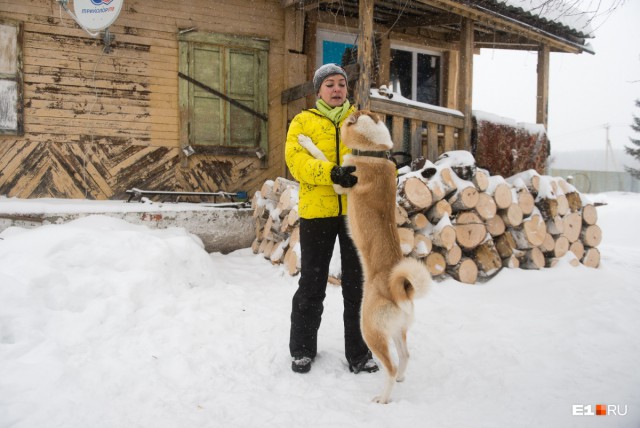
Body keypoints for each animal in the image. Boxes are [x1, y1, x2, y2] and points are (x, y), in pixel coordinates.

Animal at [338, 111, 432, 404]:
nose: (349, 107)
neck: (375, 152)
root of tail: (402, 287)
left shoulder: (341, 183)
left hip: (370, 330)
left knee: (389, 365)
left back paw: (383, 397)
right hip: (397, 331)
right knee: (405, 355)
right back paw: (401, 378)